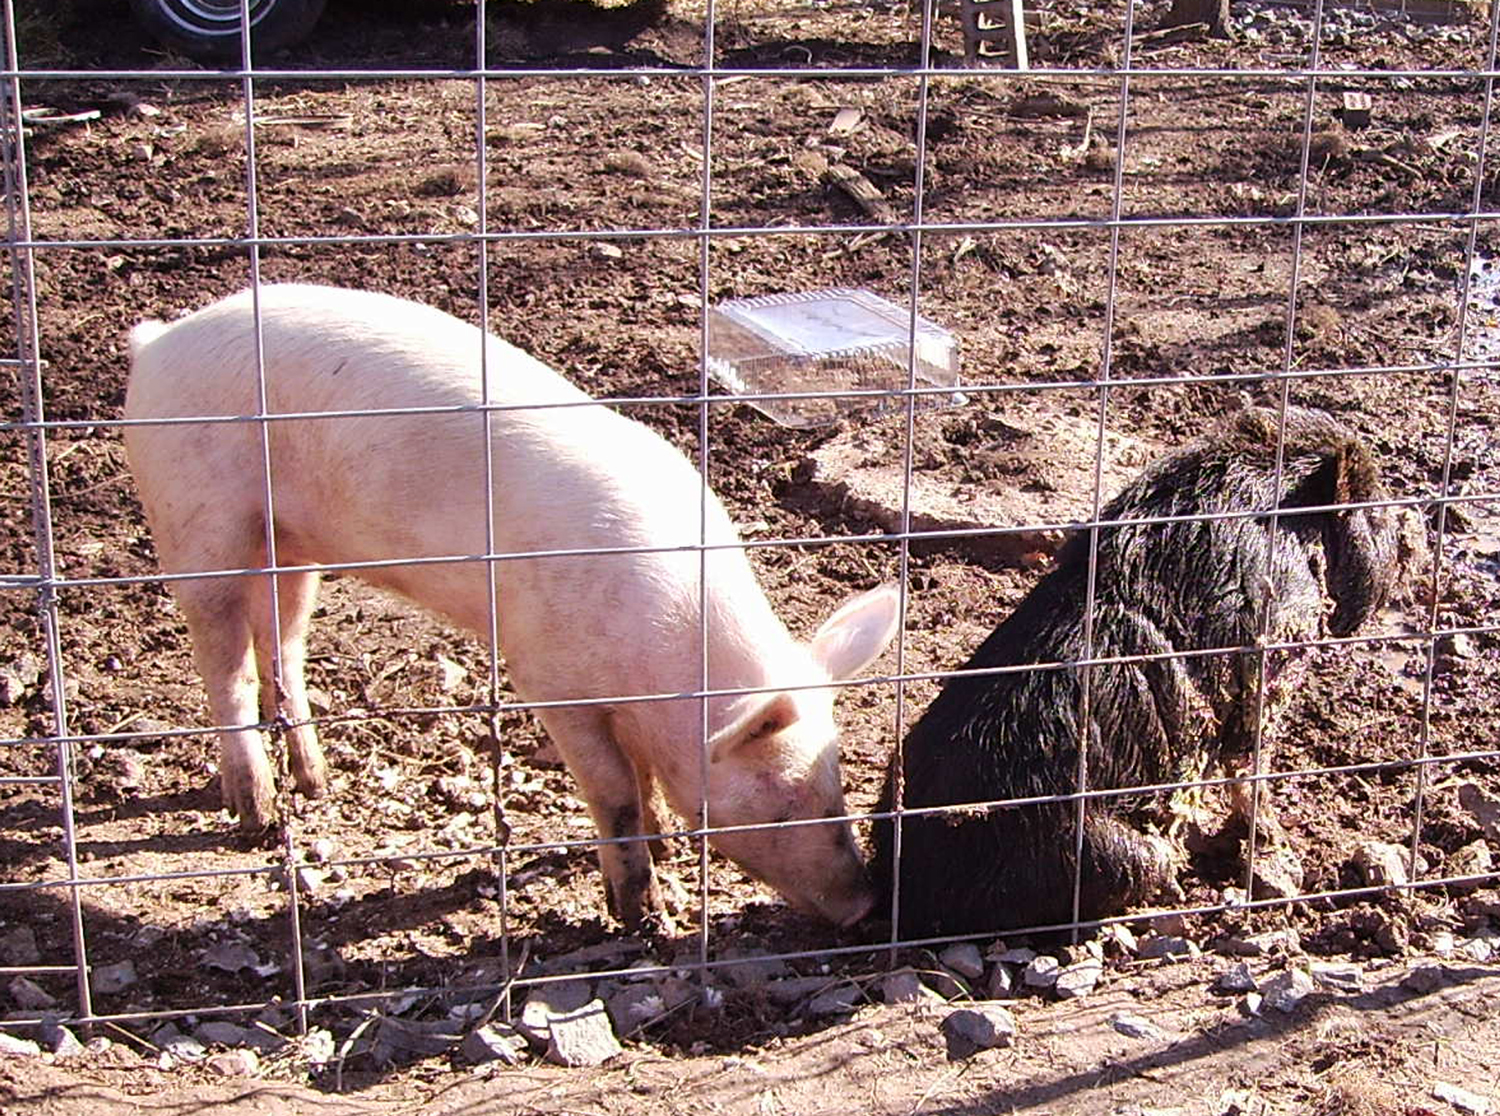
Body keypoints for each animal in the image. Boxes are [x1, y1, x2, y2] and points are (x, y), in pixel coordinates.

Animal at [123, 283, 894, 930]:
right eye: (786, 796)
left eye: (838, 780)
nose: (863, 906)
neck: (662, 667)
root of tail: (157, 340)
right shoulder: (547, 677)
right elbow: (612, 788)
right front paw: (641, 915)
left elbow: (640, 776)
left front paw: (666, 848)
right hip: (195, 517)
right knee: (224, 664)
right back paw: (253, 813)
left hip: (291, 543)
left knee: (280, 640)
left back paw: (313, 783)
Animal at [876, 405, 1398, 936]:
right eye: (1376, 510)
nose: (1410, 534)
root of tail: (908, 891)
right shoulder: (1276, 652)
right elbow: (1251, 759)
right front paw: (1277, 850)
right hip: (1108, 850)